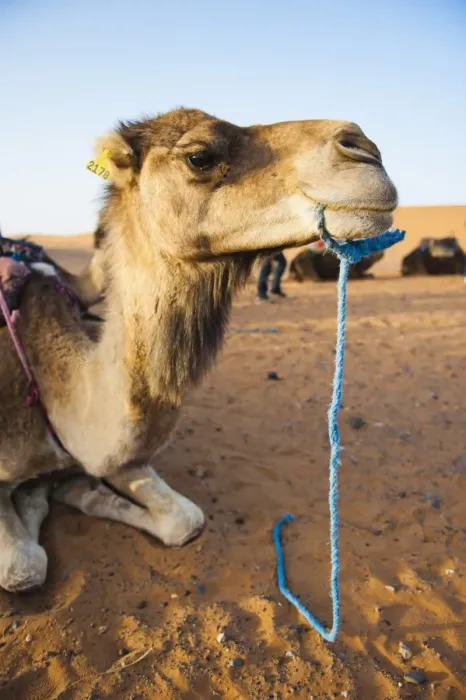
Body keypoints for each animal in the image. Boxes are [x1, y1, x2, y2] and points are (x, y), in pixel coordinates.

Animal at [0, 107, 397, 593]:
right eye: (200, 156)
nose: (365, 148)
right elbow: (23, 567)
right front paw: (42, 495)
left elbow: (185, 519)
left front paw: (70, 489)